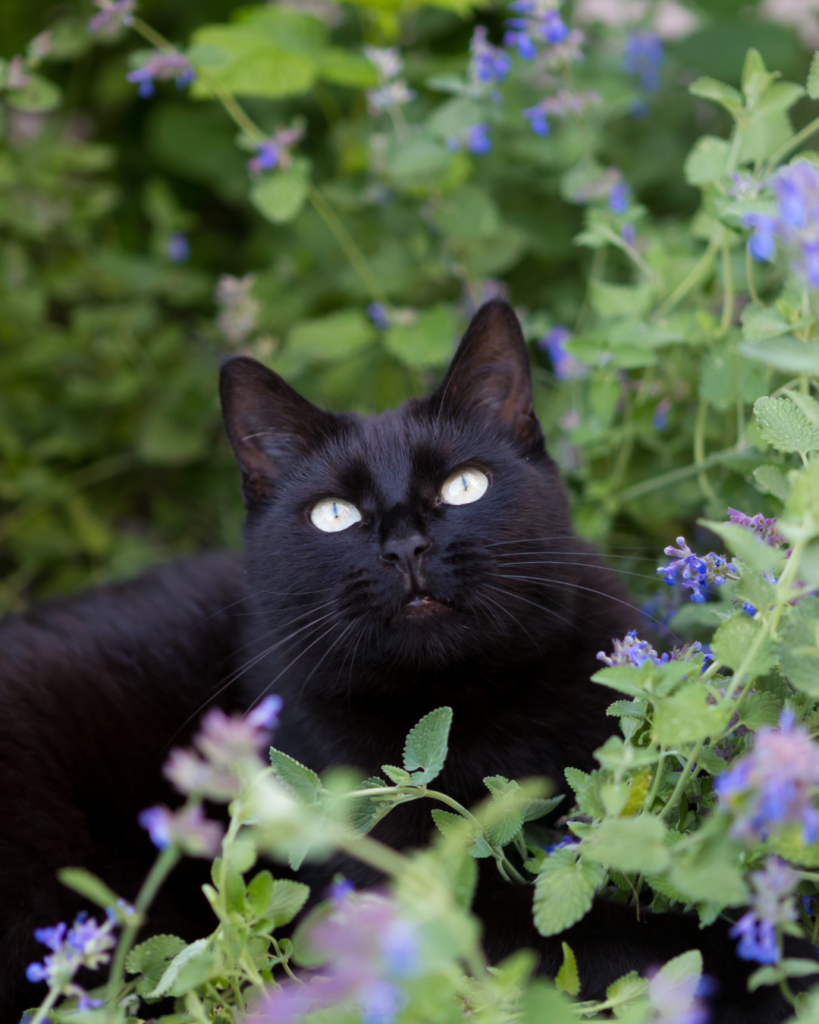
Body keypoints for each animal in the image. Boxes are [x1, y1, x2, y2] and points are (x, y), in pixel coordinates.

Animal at [0, 299, 806, 1019]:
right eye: (334, 514)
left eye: (464, 485)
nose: (406, 547)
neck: (463, 702)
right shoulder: (407, 887)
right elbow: (606, 941)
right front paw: (766, 952)